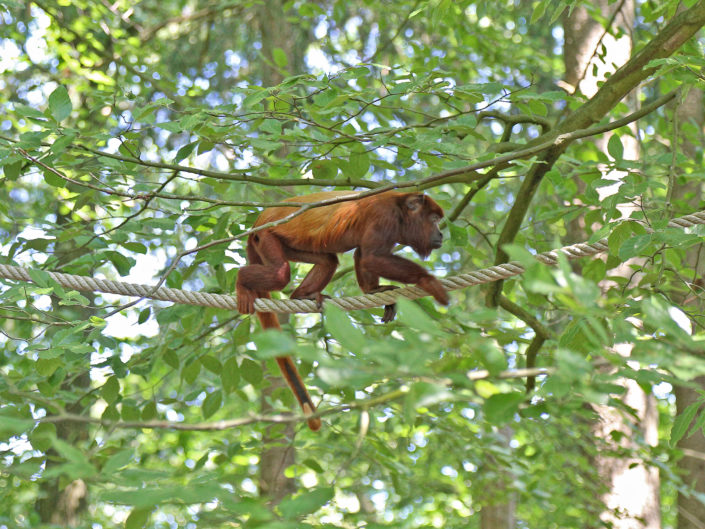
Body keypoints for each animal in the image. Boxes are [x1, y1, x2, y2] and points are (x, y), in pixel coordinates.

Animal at [234, 190, 448, 428]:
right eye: (433, 219)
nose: (441, 233)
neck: (400, 208)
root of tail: (259, 221)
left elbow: (363, 256)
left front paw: (375, 291)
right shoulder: (384, 216)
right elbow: (372, 257)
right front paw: (427, 280)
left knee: (327, 260)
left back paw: (303, 295)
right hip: (266, 236)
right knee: (281, 273)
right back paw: (242, 280)